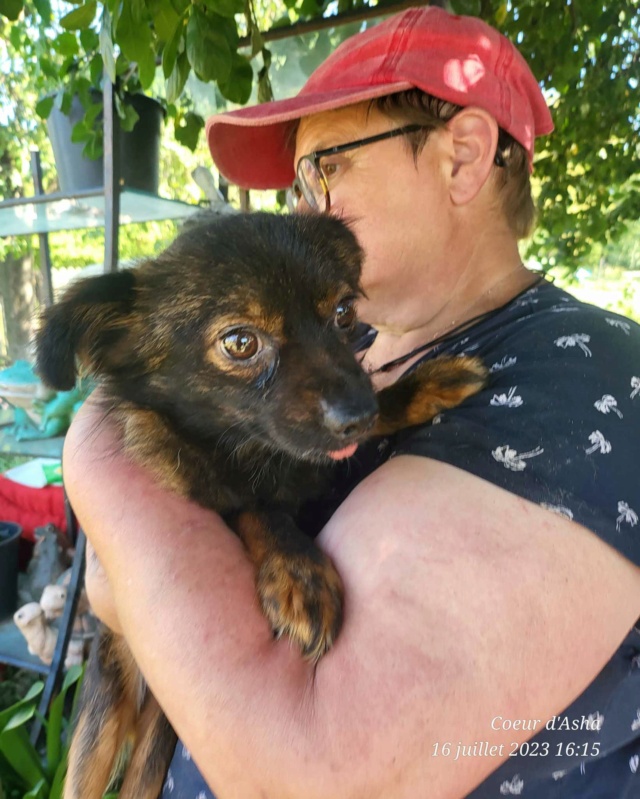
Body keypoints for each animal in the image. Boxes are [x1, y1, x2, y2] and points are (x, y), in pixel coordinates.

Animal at [36, 211, 484, 799]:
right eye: (240, 342)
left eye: (344, 313)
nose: (356, 414)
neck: (248, 446)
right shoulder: (201, 482)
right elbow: (253, 507)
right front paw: (300, 574)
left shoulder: (316, 454)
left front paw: (419, 387)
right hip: (102, 714)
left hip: (158, 738)